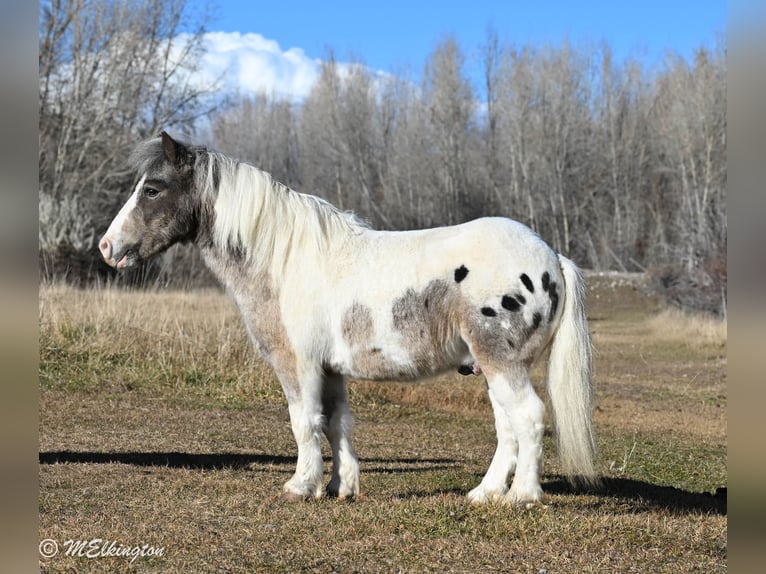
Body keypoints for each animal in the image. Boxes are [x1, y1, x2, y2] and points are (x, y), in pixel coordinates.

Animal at [99, 131, 599, 505]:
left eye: (152, 189)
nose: (107, 247)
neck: (285, 260)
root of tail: (552, 257)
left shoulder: (298, 365)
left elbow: (304, 421)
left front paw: (302, 486)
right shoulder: (330, 370)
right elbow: (337, 422)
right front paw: (342, 486)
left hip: (502, 363)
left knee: (529, 417)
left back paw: (523, 496)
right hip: (493, 368)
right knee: (507, 427)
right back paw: (486, 493)